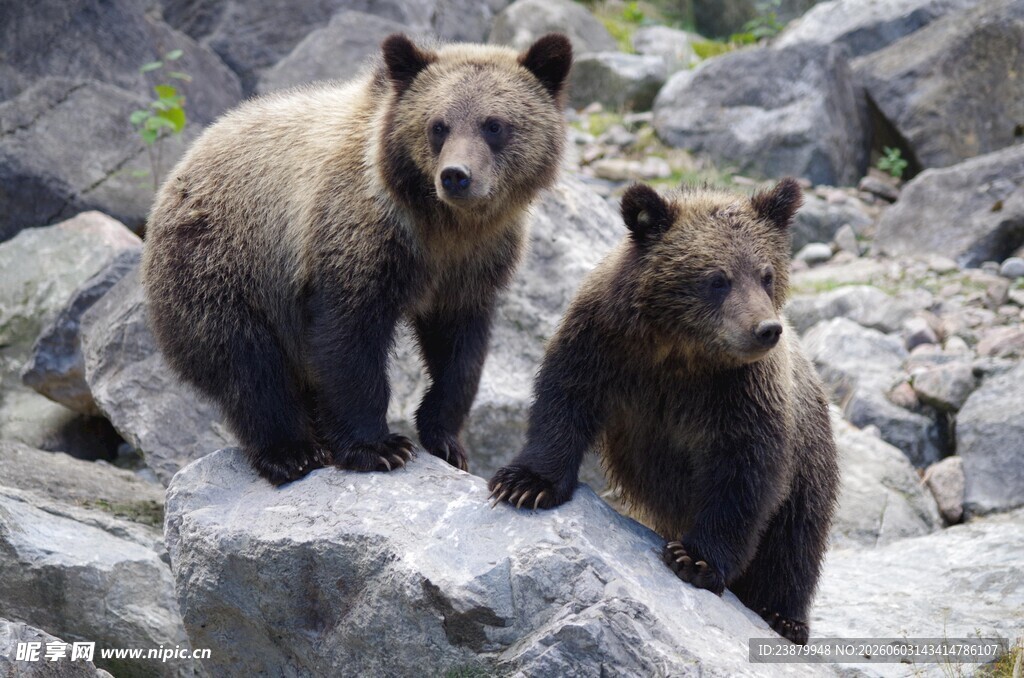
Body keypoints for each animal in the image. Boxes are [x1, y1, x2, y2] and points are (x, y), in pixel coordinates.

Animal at [141, 33, 572, 485]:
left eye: (494, 124)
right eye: (438, 125)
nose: (456, 175)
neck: (440, 225)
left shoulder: (472, 266)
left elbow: (460, 352)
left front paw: (445, 439)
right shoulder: (357, 238)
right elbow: (349, 340)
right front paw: (378, 447)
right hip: (223, 264)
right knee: (250, 365)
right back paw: (291, 451)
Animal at [488, 179, 839, 645]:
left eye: (766, 274)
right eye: (717, 278)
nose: (766, 329)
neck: (680, 352)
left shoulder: (741, 394)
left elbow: (743, 475)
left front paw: (696, 559)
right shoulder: (602, 346)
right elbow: (563, 403)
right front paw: (526, 484)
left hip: (811, 461)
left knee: (795, 541)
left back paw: (784, 616)